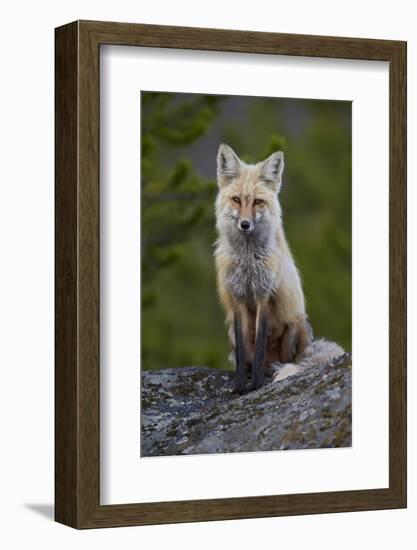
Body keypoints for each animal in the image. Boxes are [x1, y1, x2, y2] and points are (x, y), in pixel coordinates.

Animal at [213, 142, 342, 392]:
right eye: (236, 200)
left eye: (257, 202)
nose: (245, 224)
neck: (248, 260)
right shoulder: (237, 298)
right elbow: (244, 353)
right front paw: (240, 385)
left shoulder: (264, 295)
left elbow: (260, 344)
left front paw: (257, 386)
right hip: (231, 330)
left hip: (297, 325)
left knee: (288, 361)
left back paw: (273, 371)